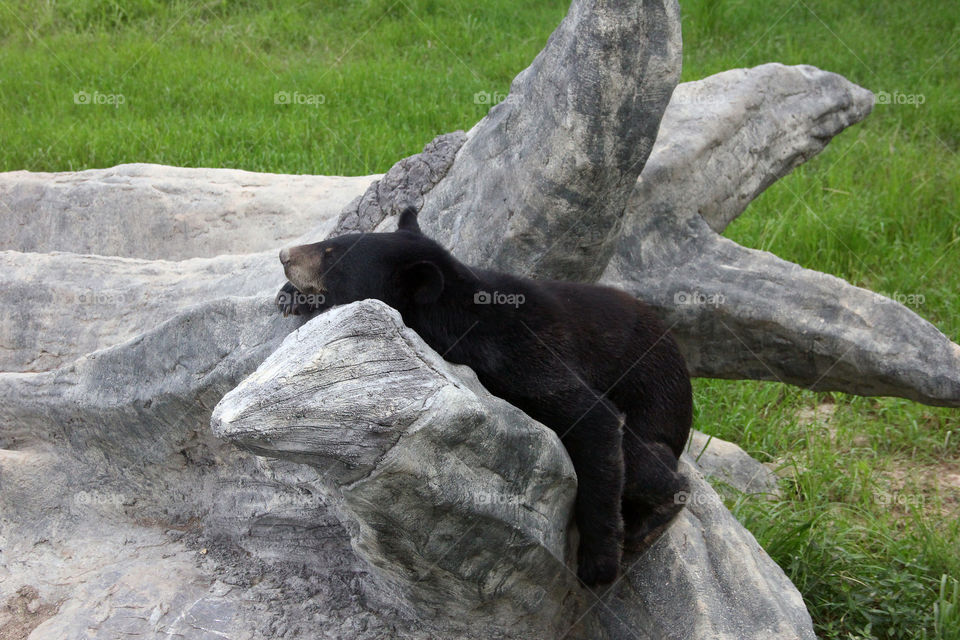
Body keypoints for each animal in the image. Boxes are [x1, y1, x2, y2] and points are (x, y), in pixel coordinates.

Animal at [278, 208, 688, 588]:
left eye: (332, 255)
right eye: (332, 242)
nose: (284, 254)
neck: (455, 315)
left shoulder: (522, 356)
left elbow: (593, 417)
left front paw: (598, 564)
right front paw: (290, 297)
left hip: (655, 411)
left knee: (643, 463)